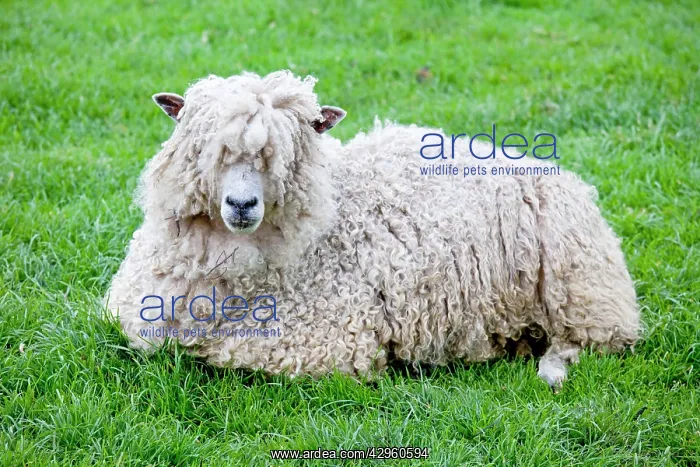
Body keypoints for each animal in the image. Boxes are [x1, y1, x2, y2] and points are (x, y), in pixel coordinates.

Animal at [105, 70, 640, 389]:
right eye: (205, 147)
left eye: (289, 150)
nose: (241, 204)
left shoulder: (317, 344)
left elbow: (222, 354)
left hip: (585, 291)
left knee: (593, 343)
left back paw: (551, 369)